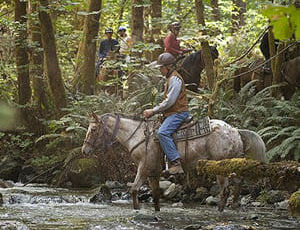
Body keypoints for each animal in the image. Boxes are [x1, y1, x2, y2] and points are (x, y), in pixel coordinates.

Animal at [81, 113, 266, 212]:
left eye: (94, 129)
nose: (84, 150)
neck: (140, 136)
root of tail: (235, 130)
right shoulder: (153, 173)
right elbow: (155, 194)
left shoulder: (144, 168)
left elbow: (134, 190)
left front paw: (137, 210)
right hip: (233, 164)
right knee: (238, 183)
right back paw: (234, 206)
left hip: (220, 167)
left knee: (225, 189)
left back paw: (221, 211)